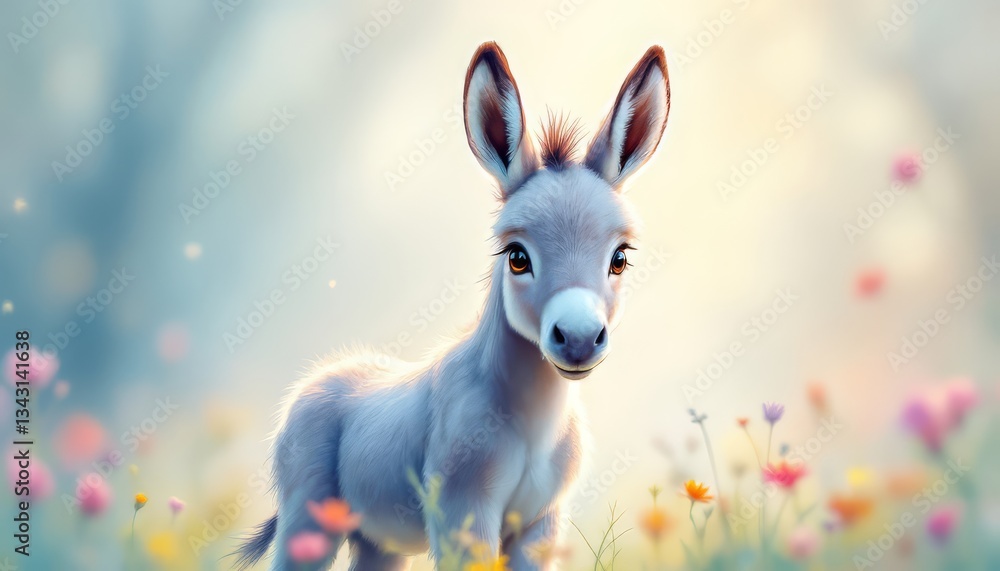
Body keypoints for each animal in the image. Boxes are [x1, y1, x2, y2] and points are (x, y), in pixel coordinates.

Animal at [236, 41, 670, 571]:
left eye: (620, 258)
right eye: (517, 256)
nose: (579, 339)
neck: (531, 423)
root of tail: (320, 377)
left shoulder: (541, 523)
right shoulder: (462, 514)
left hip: (378, 541)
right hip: (308, 519)